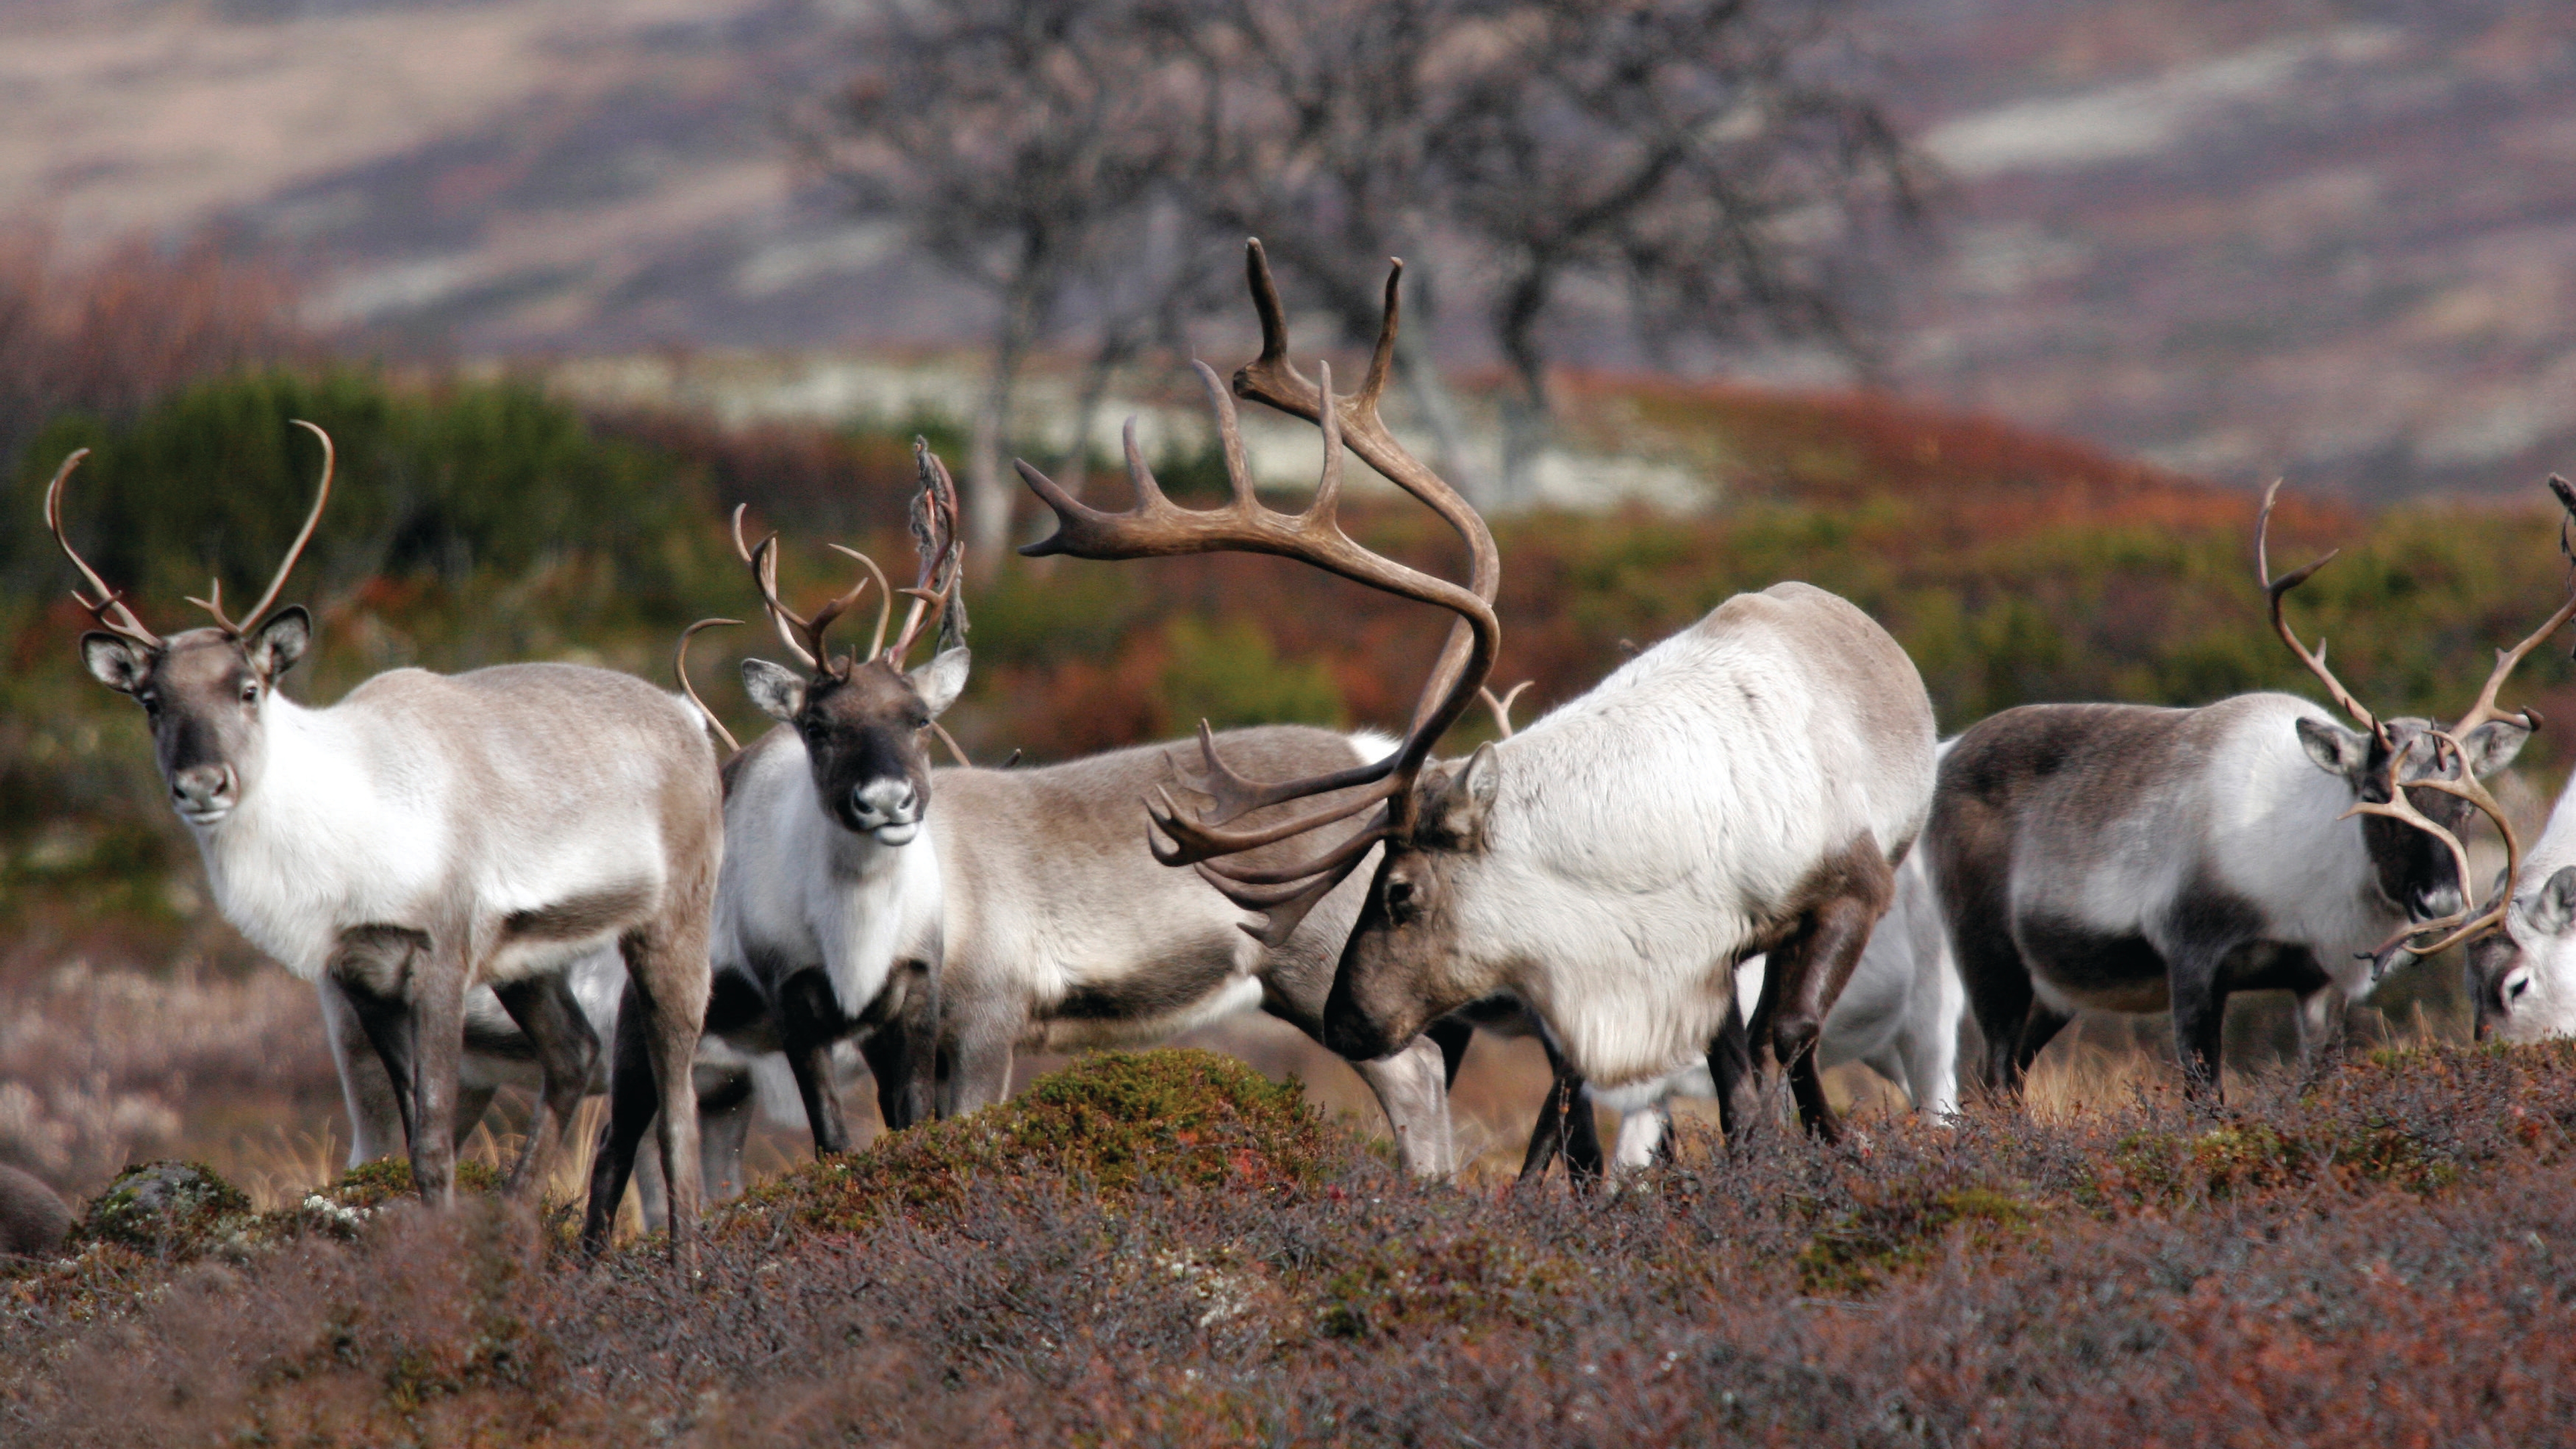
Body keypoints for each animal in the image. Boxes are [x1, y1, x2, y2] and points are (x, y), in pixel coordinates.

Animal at [47, 424, 723, 1263]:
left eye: (249, 689)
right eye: (150, 701)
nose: (202, 785)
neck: (346, 830)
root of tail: (687, 719)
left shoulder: (440, 957)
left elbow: (431, 1143)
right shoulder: (361, 976)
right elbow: (410, 1137)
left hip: (672, 923)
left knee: (676, 1100)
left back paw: (684, 1268)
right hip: (529, 960)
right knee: (575, 1056)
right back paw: (525, 1227)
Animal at [1015, 239, 1940, 1145]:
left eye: (1399, 892)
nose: (1346, 1023)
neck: (1660, 847)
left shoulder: (1848, 889)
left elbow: (1786, 1039)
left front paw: (1811, 1158)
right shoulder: (1702, 954)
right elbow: (1734, 1080)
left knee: (1795, 1033)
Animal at [1929, 479, 2575, 1100]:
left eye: (2463, 809)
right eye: (2376, 797)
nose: (2440, 903)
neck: (2301, 882)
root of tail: (1948, 750)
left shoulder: (2319, 985)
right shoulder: (2192, 961)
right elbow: (2205, 1100)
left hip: (2058, 990)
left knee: (2007, 1079)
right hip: (1990, 958)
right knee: (1992, 1075)